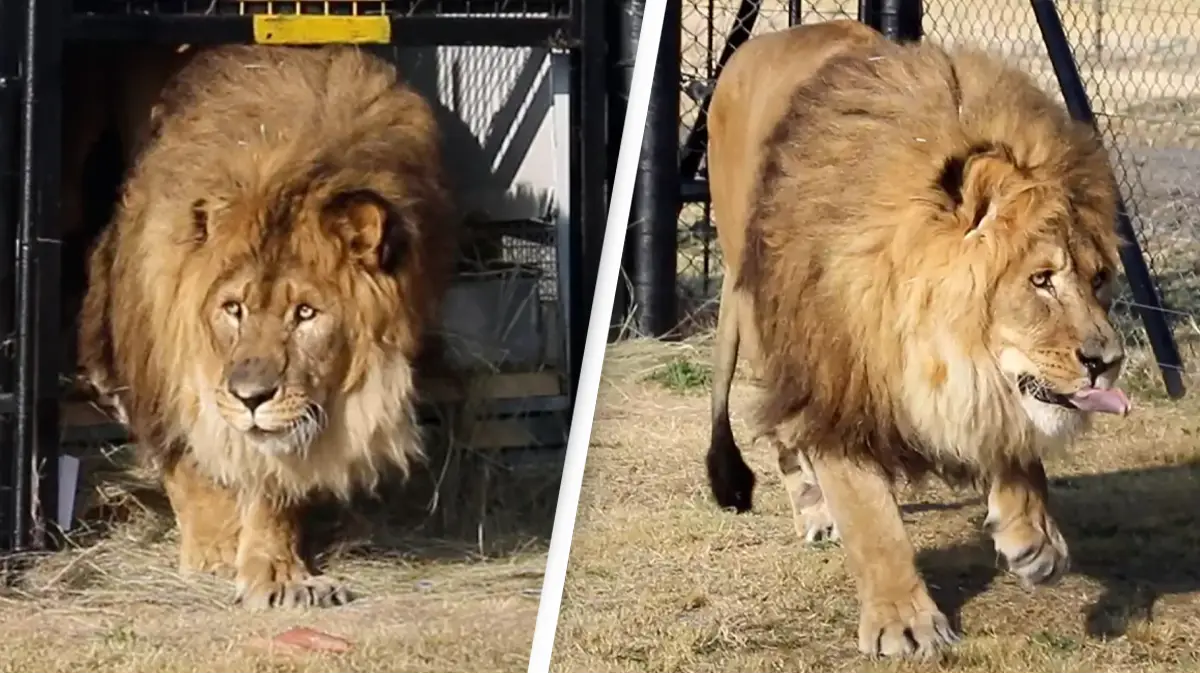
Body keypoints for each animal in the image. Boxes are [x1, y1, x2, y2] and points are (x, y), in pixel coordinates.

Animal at [77, 44, 455, 609]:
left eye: (305, 314)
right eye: (234, 308)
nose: (251, 396)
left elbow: (273, 481)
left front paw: (277, 572)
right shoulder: (161, 359)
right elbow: (191, 460)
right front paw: (213, 550)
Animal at [705, 20, 1130, 657]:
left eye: (1098, 279)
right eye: (1041, 279)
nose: (1109, 362)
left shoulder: (983, 383)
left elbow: (1009, 431)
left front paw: (1033, 537)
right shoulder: (835, 376)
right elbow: (872, 517)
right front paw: (903, 621)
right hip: (761, 314)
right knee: (783, 436)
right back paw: (813, 511)